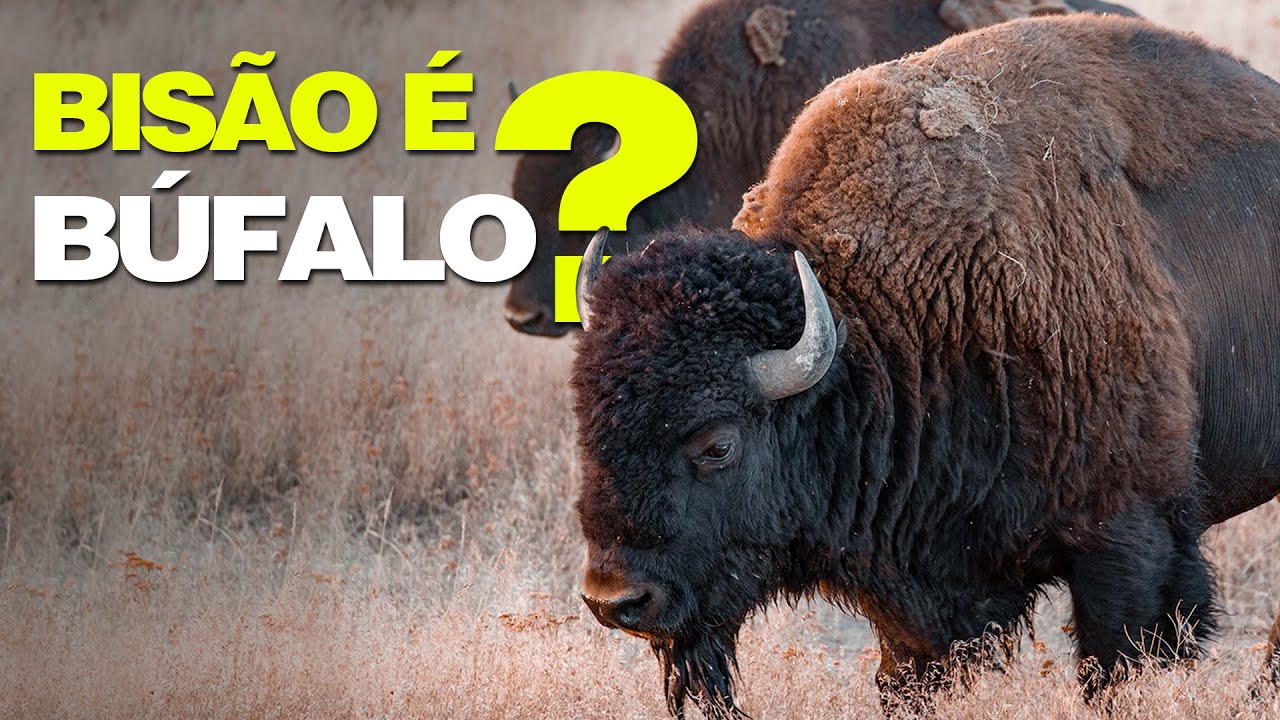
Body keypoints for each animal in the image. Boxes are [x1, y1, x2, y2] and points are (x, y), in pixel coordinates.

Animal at [570, 14, 1280, 718]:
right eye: (588, 426)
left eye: (718, 444)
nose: (616, 600)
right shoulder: (921, 598)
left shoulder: (1131, 536)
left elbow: (1118, 664)